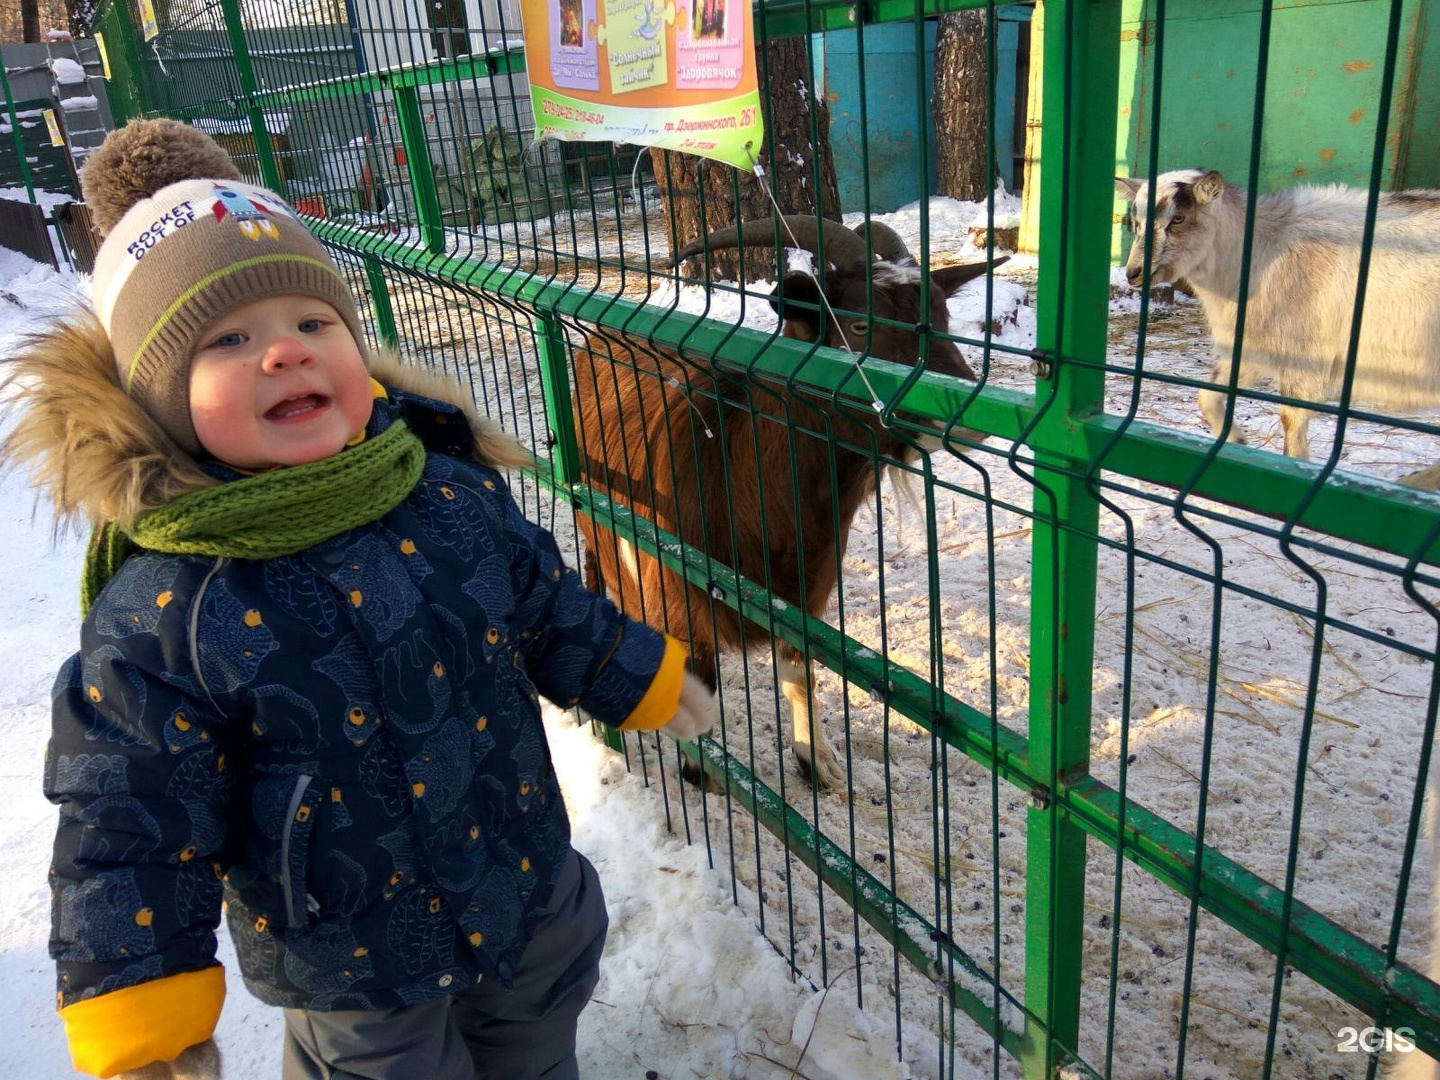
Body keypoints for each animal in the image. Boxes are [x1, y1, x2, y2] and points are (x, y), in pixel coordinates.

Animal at [570, 217, 1002, 794]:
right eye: (857, 327)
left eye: (943, 315)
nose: (967, 420)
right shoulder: (678, 592)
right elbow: (698, 679)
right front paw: (700, 773)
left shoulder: (805, 591)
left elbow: (800, 671)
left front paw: (816, 761)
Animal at [1117, 169, 1440, 460]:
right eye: (1135, 222)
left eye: (1178, 219)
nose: (1133, 273)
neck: (1261, 252)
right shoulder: (1254, 343)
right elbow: (1207, 393)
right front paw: (1237, 438)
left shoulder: (1303, 352)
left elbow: (1291, 417)